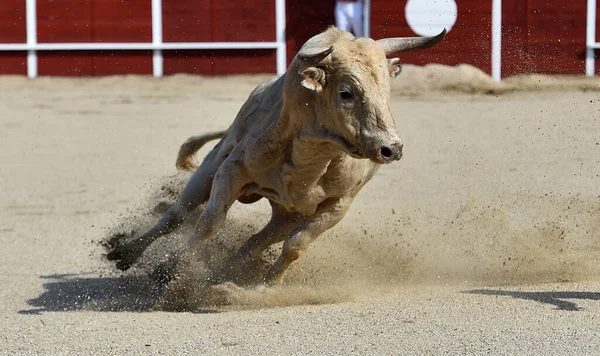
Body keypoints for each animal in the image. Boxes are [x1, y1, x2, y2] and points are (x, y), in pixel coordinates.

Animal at [108, 25, 446, 284]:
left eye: (387, 91)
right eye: (346, 93)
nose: (391, 148)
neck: (313, 158)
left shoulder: (338, 204)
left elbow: (296, 245)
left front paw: (265, 286)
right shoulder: (231, 171)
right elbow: (209, 223)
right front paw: (169, 268)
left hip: (287, 214)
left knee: (255, 242)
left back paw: (231, 273)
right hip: (212, 165)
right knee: (178, 213)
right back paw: (123, 253)